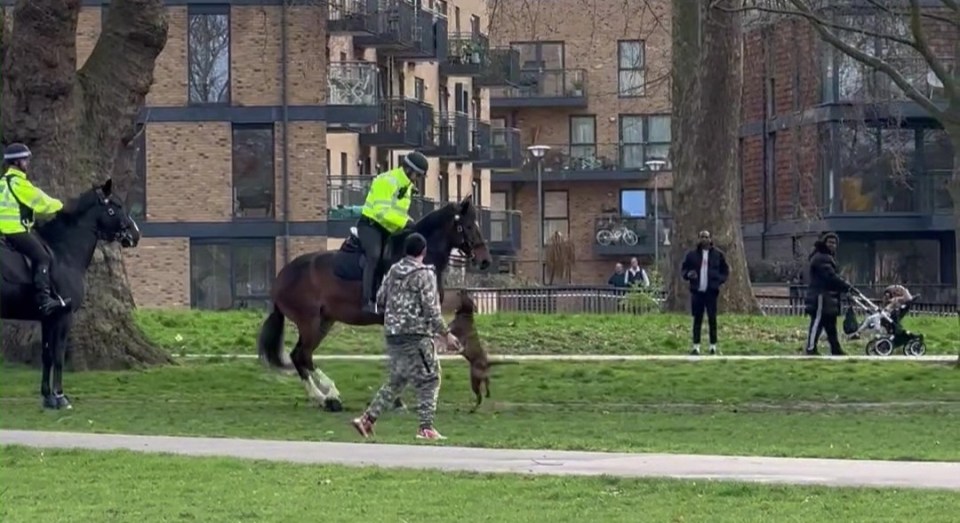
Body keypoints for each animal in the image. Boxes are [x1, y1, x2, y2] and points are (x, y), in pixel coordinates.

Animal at [258, 196, 492, 414]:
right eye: (468, 226)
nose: (485, 261)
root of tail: (282, 276)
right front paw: (399, 400)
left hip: (324, 322)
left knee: (300, 356)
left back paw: (326, 397)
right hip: (310, 323)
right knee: (302, 356)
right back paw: (327, 396)